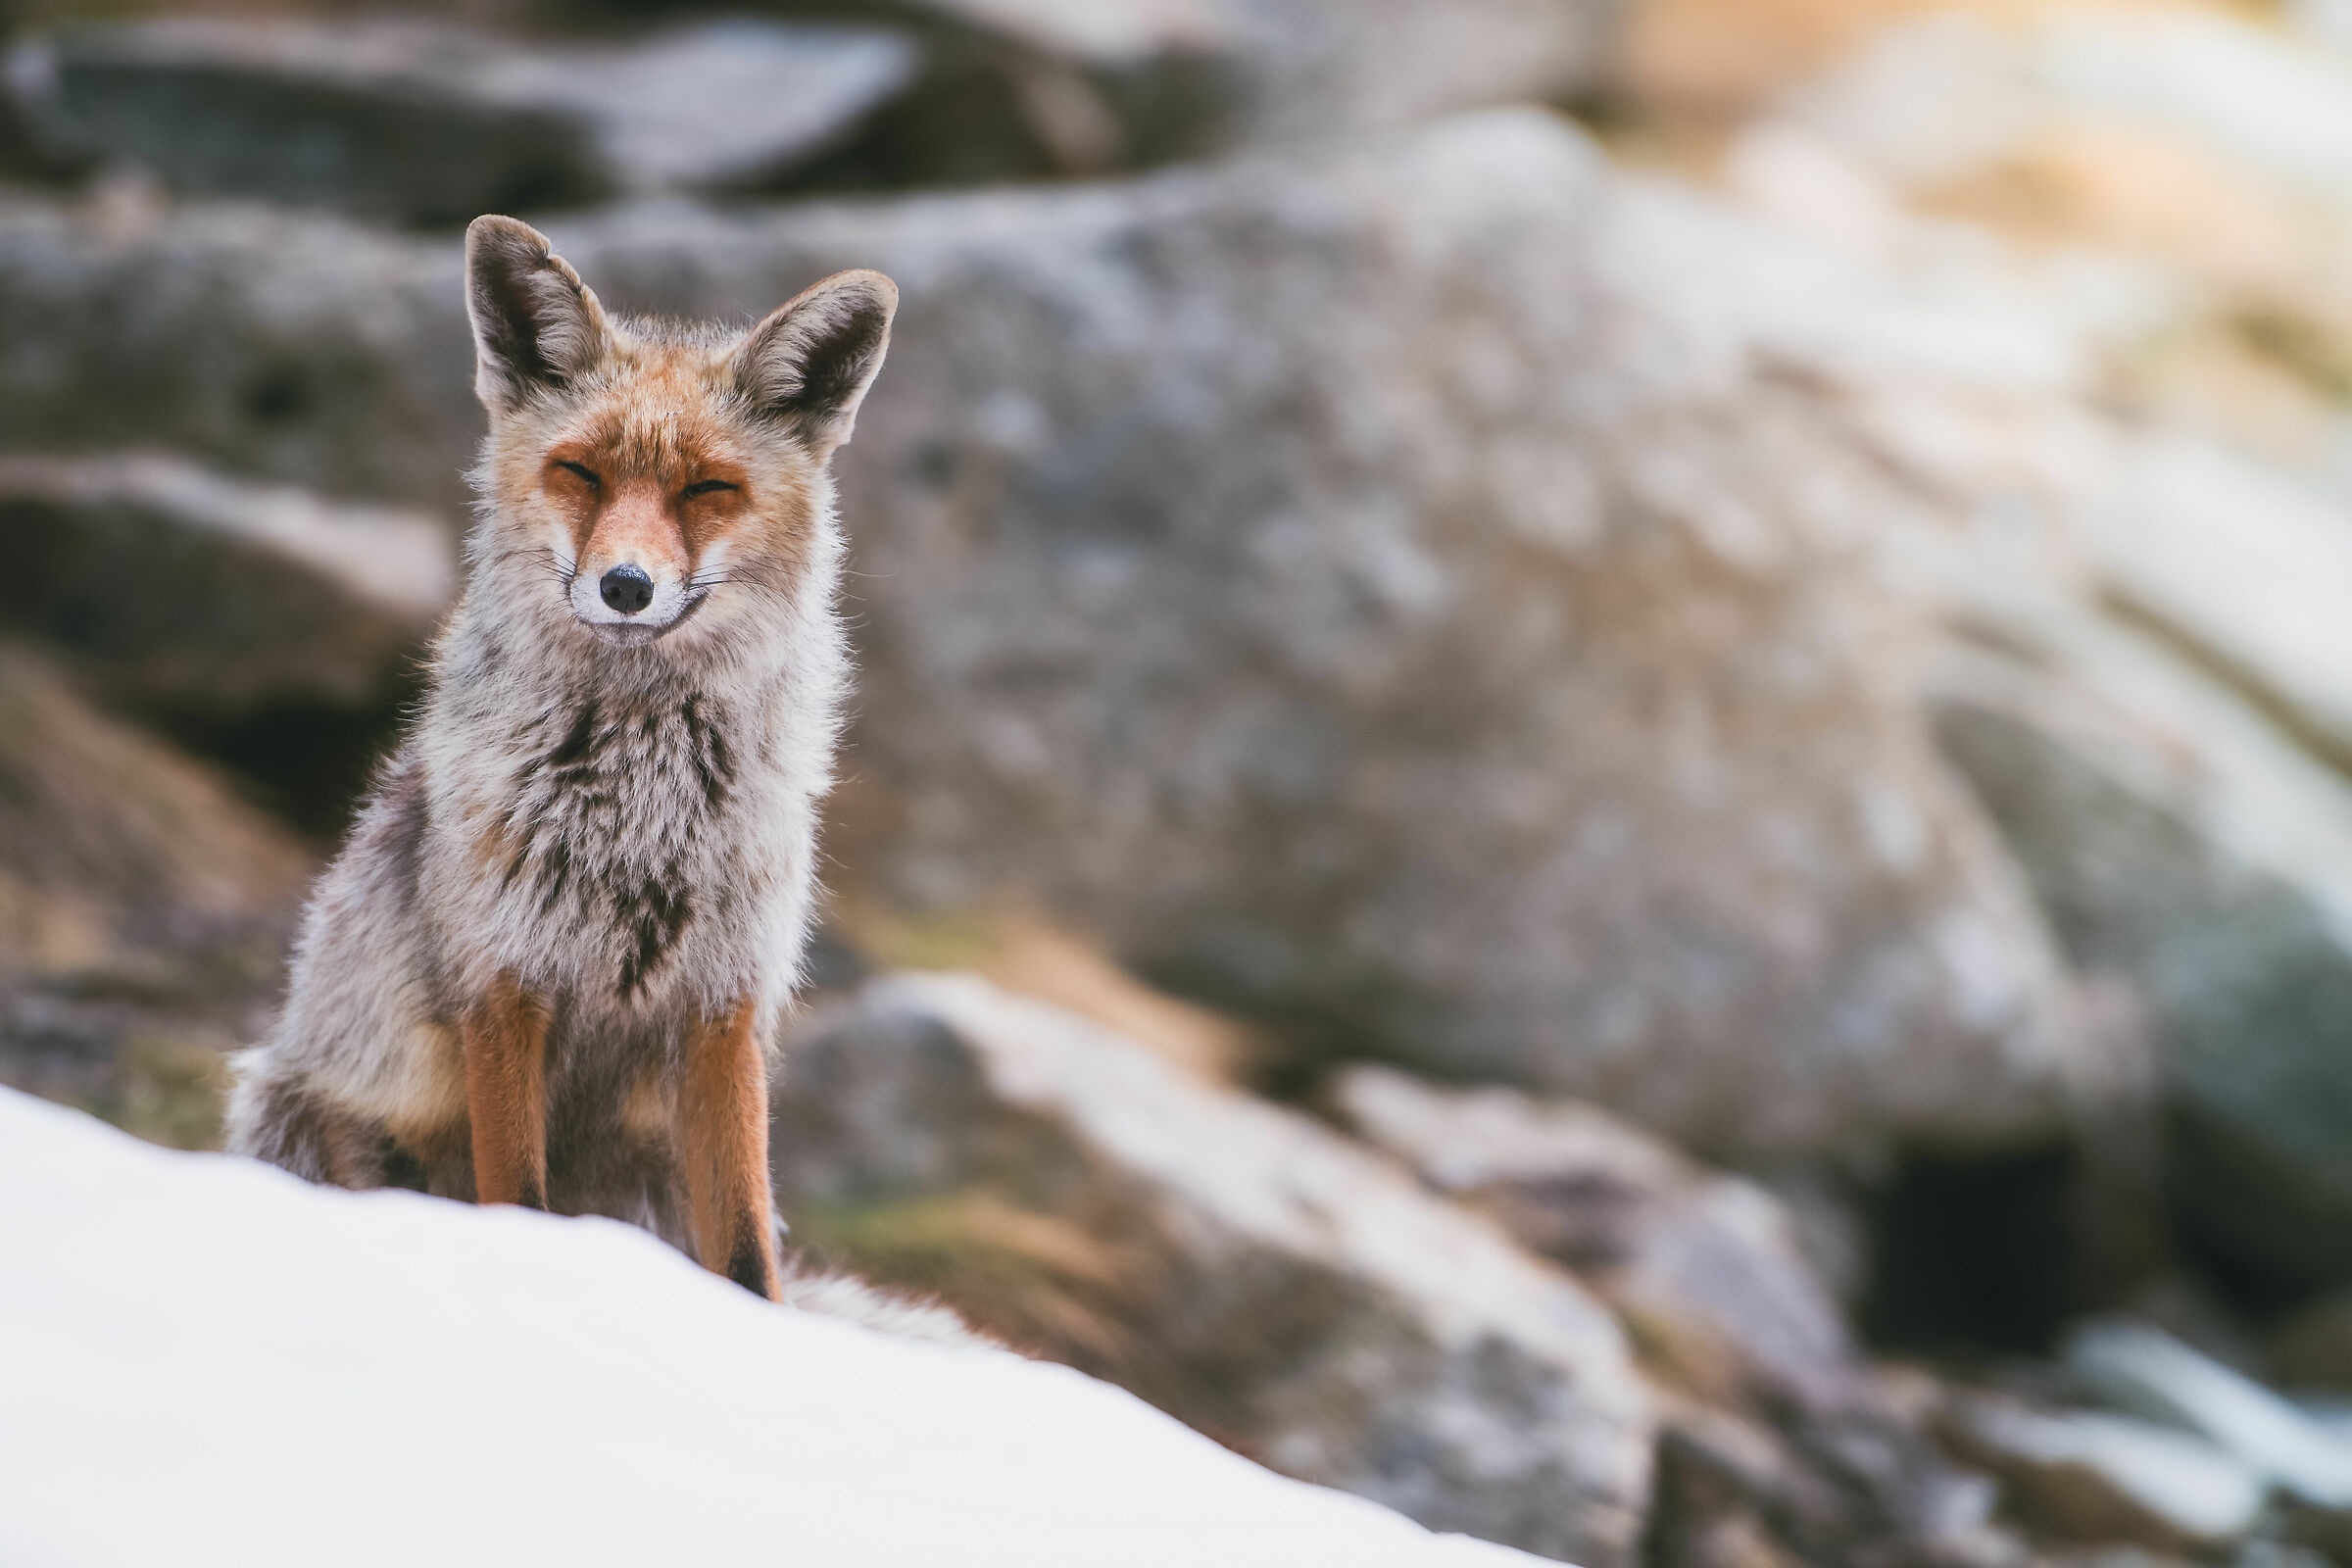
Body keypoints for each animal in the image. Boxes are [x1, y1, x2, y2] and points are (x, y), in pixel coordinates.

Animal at [226, 215, 896, 1301]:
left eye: (707, 488)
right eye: (581, 473)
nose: (625, 585)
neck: (641, 813)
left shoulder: (723, 1005)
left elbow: (746, 1255)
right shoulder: (504, 986)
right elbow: (519, 1199)